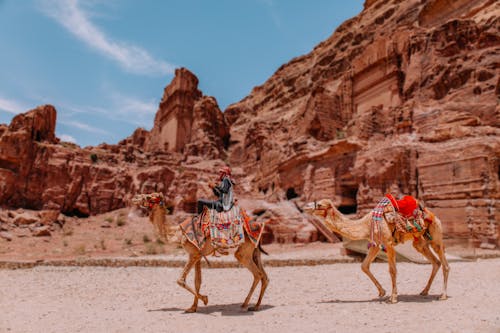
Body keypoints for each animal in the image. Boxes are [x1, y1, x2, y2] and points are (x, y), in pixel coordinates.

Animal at [131, 192, 268, 312]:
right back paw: (256, 306)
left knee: (257, 274)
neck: (178, 233)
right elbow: (197, 281)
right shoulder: (198, 256)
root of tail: (256, 226)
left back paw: (245, 304)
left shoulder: (193, 254)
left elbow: (180, 280)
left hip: (244, 251)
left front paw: (205, 299)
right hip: (254, 250)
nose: (135, 198)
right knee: (264, 276)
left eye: (149, 197)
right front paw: (192, 308)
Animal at [302, 198, 452, 302]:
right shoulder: (375, 244)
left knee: (445, 264)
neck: (366, 224)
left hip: (436, 235)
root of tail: (433, 215)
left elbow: (392, 270)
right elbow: (364, 266)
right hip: (420, 241)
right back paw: (424, 291)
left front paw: (393, 298)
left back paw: (442, 295)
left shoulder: (388, 243)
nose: (305, 207)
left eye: (319, 205)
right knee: (435, 261)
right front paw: (382, 292)